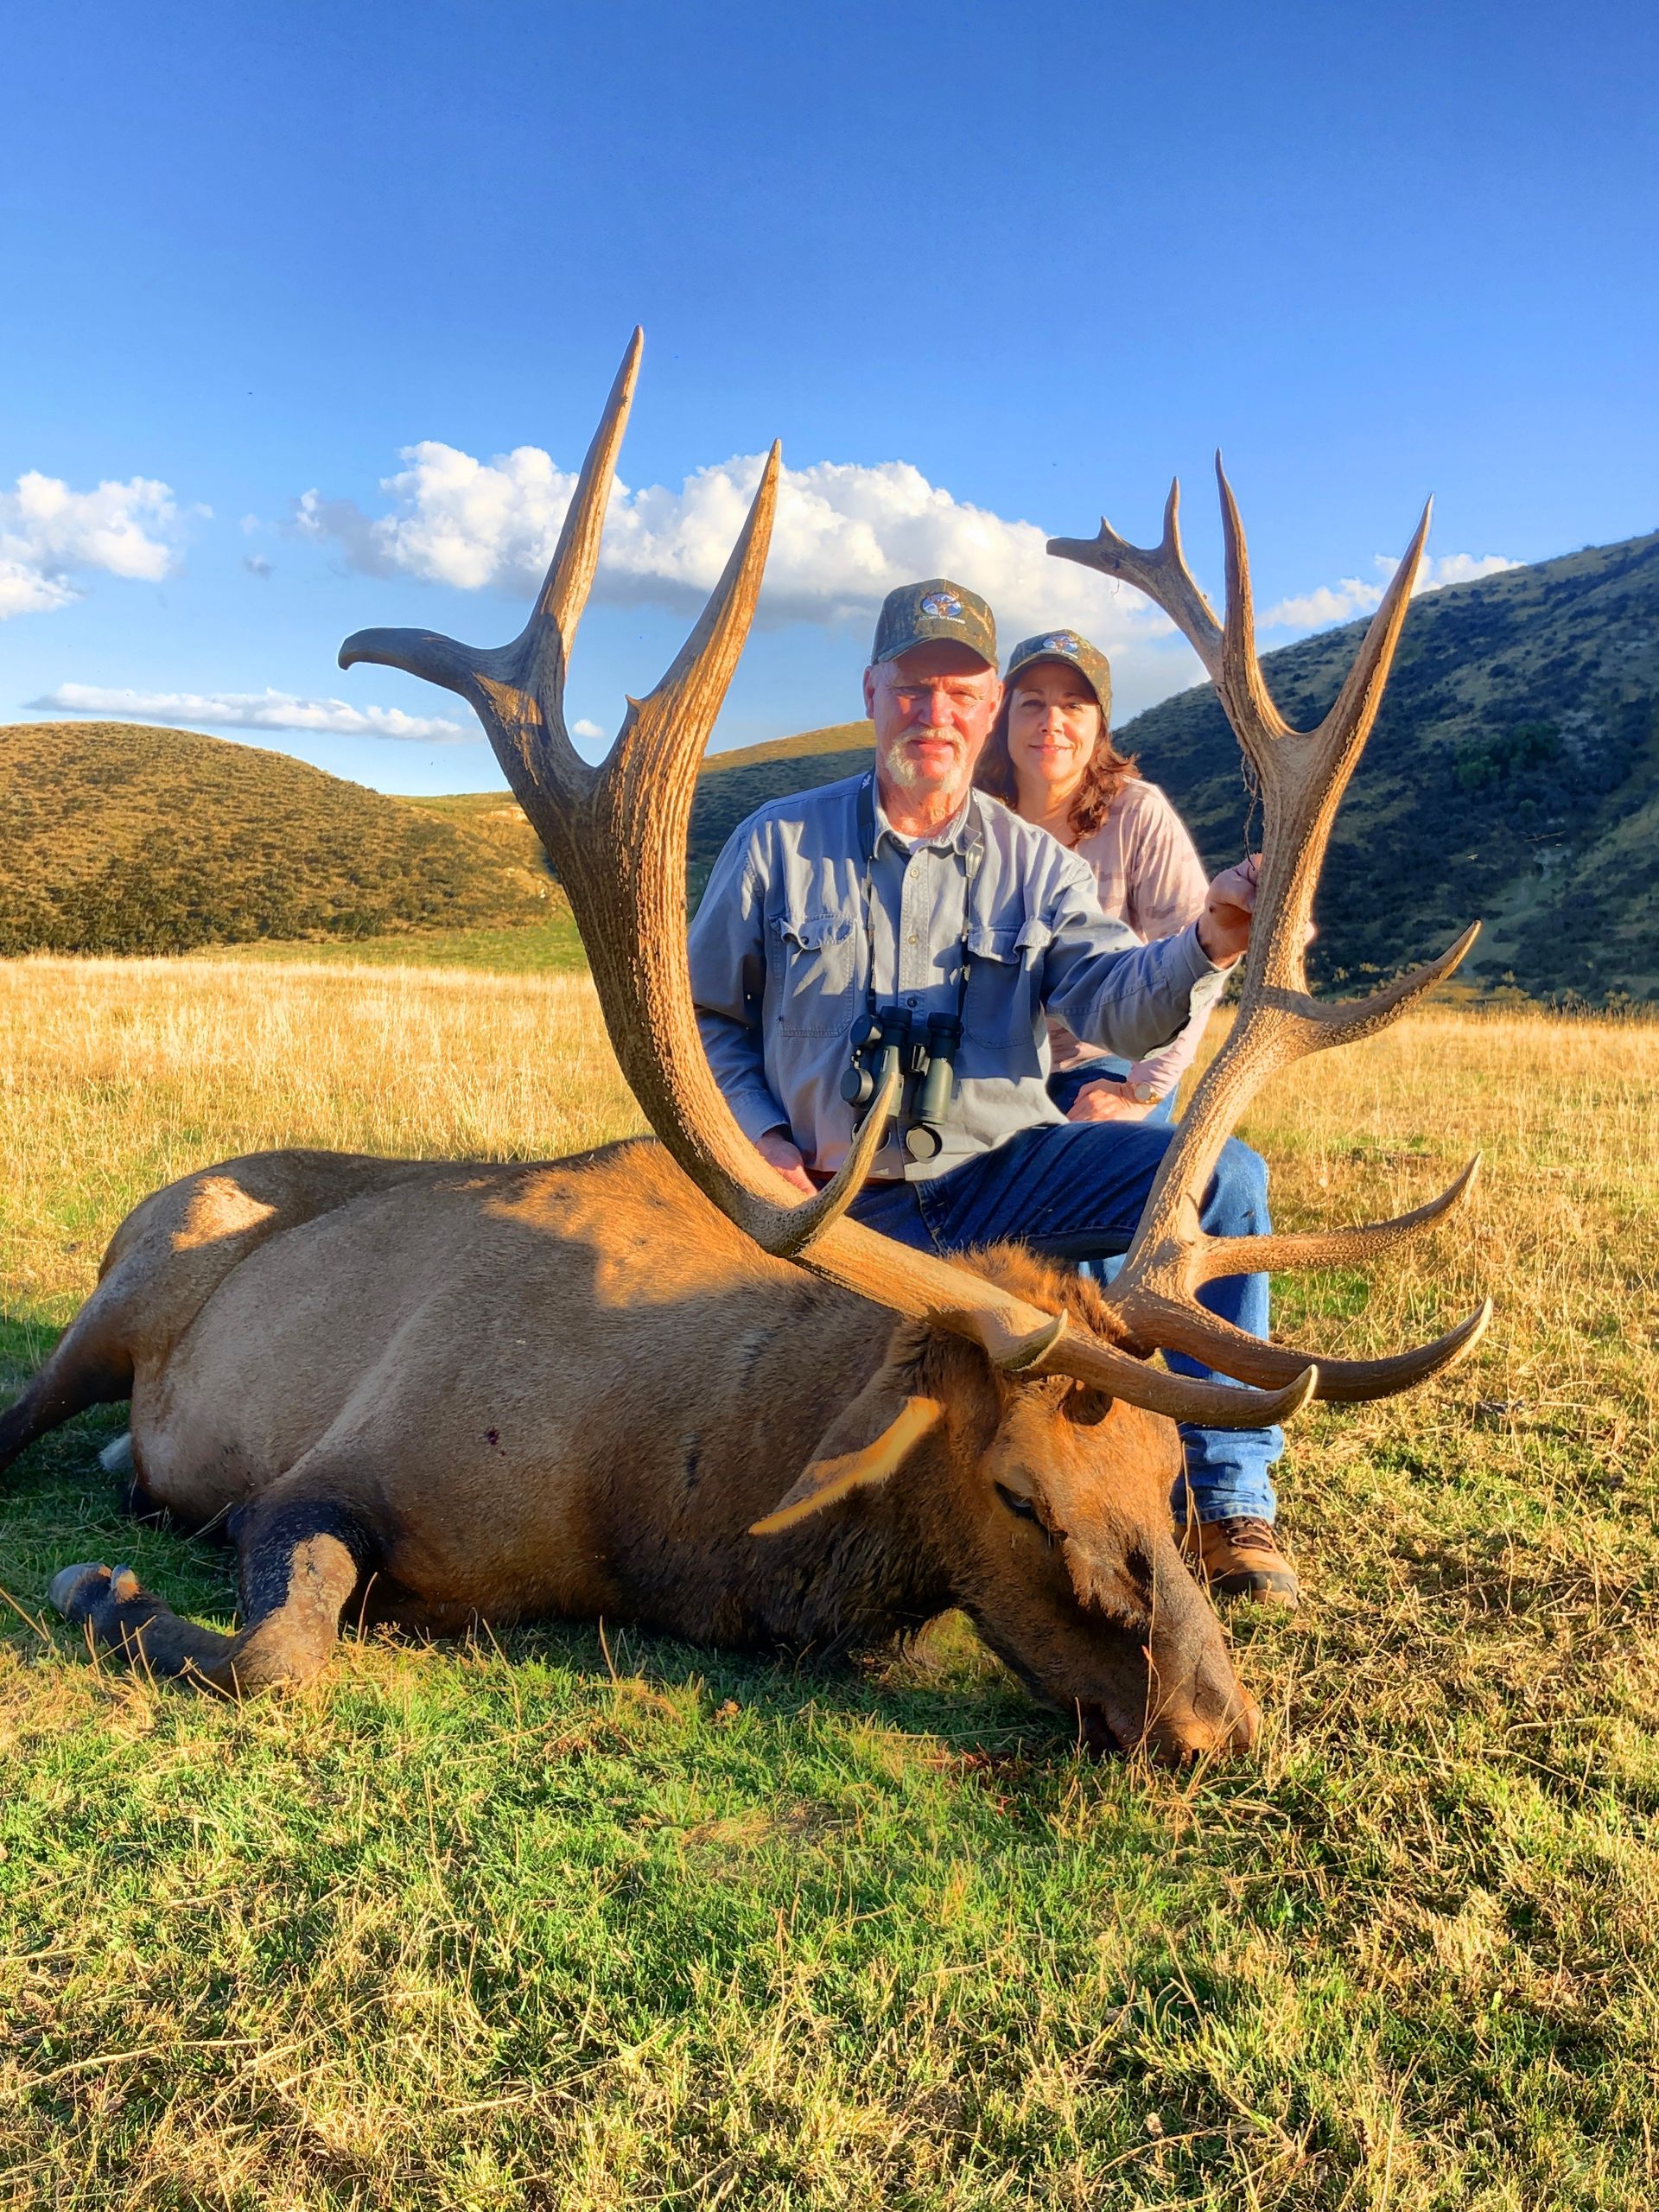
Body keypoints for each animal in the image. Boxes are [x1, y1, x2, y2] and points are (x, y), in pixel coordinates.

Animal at [0, 333, 1490, 1762]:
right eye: (1018, 1492)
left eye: (1168, 1478)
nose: (1210, 1723)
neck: (673, 1509)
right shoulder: (325, 1470)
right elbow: (275, 1653)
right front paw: (99, 1592)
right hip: (127, 1284)